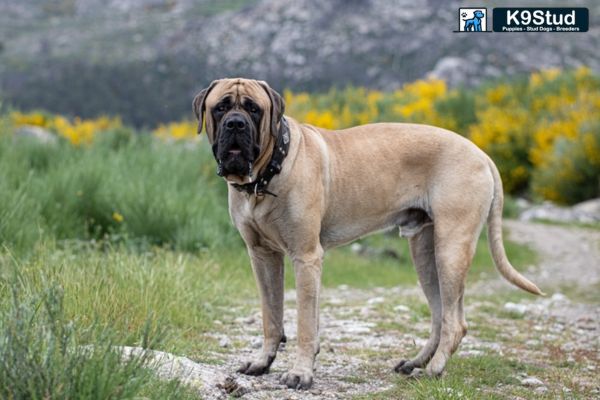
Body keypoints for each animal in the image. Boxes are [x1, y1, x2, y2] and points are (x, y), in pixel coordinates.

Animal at [193, 77, 544, 388]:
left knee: (455, 322)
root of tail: (480, 153)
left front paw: (300, 373)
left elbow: (304, 321)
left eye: (254, 109)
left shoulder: (306, 257)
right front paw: (263, 361)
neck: (266, 173)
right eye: (220, 107)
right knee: (440, 314)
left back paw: (434, 369)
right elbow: (271, 315)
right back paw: (417, 362)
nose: (235, 124)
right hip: (425, 252)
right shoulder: (263, 256)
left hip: (451, 248)